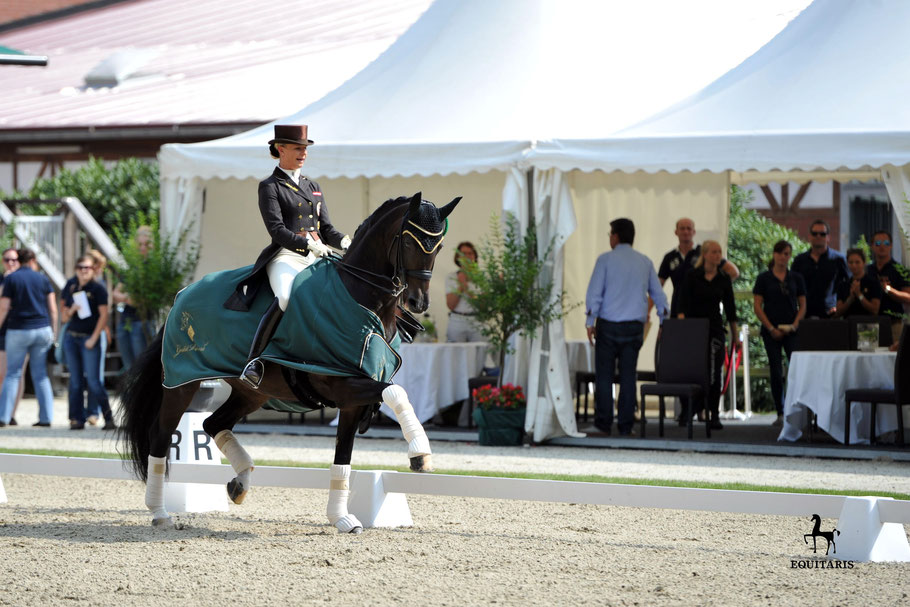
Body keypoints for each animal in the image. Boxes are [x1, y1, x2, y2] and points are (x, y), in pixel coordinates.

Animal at [119, 192, 464, 536]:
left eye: (438, 245)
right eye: (407, 241)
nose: (418, 302)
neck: (361, 299)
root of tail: (181, 295)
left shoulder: (352, 399)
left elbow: (344, 455)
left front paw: (341, 518)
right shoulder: (341, 383)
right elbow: (396, 392)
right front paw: (420, 453)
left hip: (251, 393)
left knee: (213, 424)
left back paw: (240, 482)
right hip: (182, 382)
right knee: (161, 436)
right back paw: (160, 512)